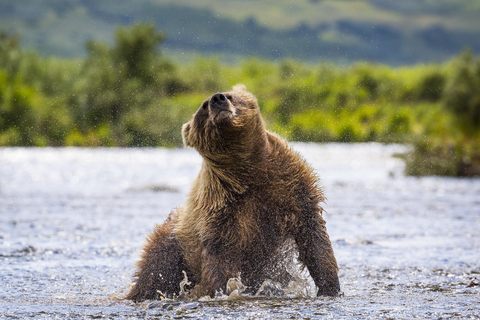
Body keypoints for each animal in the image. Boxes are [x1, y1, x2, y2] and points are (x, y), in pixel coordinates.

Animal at [125, 84, 340, 302]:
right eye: (203, 106)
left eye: (230, 96)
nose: (217, 99)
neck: (246, 167)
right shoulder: (220, 210)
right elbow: (220, 259)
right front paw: (223, 291)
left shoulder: (292, 187)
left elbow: (314, 238)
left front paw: (330, 287)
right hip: (174, 246)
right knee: (156, 273)